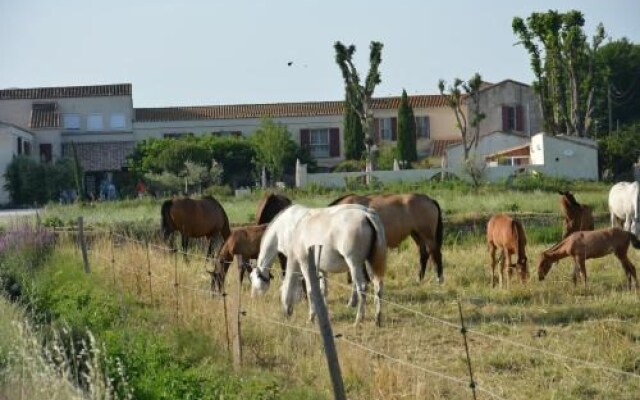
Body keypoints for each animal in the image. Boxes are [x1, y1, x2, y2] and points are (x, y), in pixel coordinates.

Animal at [251, 203, 388, 324]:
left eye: (253, 279)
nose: (253, 297)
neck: (284, 227)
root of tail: (367, 214)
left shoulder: (304, 264)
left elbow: (310, 289)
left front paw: (311, 317)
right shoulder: (320, 267)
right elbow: (323, 289)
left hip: (354, 263)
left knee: (362, 287)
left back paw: (358, 318)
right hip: (369, 262)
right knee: (378, 286)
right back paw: (377, 318)